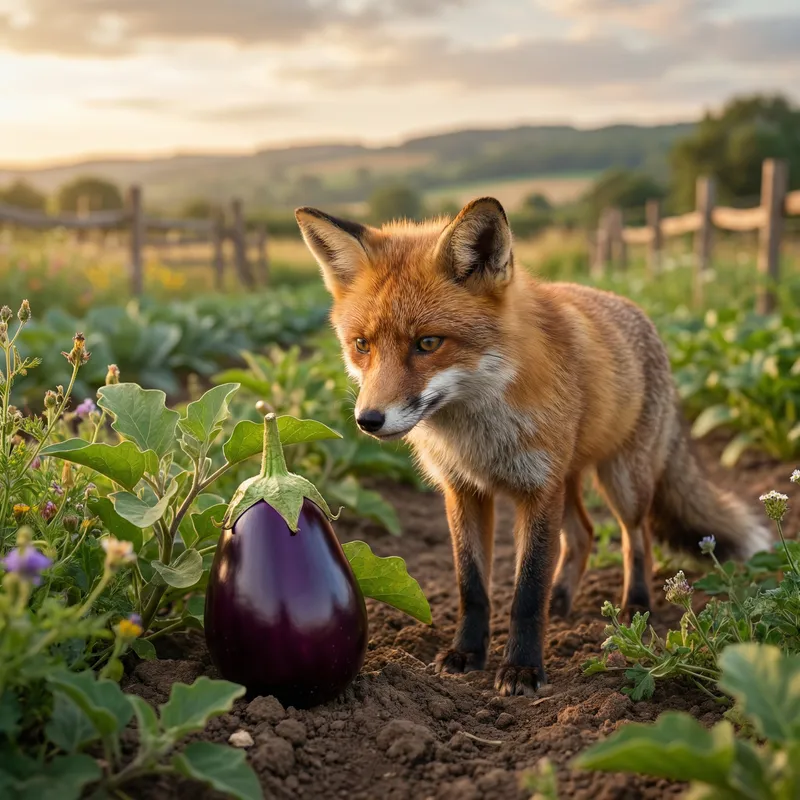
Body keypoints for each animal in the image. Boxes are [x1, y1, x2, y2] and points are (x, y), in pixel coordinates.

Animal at [294, 197, 771, 697]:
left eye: (428, 343)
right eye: (361, 345)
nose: (368, 420)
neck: (478, 431)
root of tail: (642, 316)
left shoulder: (538, 489)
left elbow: (526, 591)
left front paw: (522, 668)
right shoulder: (464, 491)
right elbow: (472, 587)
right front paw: (466, 653)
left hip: (621, 481)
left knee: (635, 538)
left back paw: (635, 606)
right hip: (570, 479)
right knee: (583, 535)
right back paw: (561, 602)